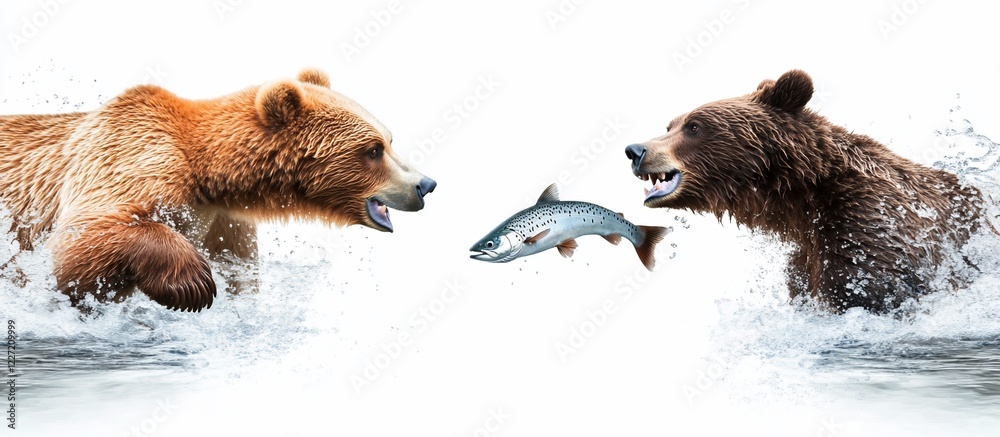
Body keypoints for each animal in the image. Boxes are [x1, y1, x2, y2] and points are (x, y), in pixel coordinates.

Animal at [0, 68, 436, 312]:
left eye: (389, 139)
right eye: (373, 149)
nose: (425, 184)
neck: (209, 177)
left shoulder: (223, 222)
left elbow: (240, 271)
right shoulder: (131, 154)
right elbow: (80, 240)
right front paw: (193, 285)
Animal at [624, 69, 986, 313]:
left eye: (695, 126)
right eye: (671, 124)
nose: (635, 150)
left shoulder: (868, 226)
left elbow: (865, 287)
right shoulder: (806, 255)